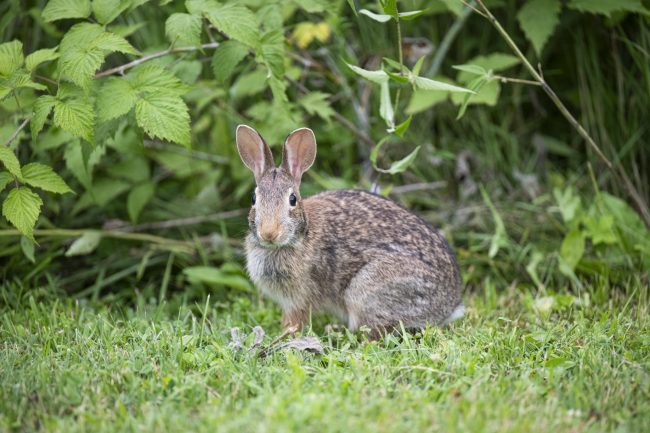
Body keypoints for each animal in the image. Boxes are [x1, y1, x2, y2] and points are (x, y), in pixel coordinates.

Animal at [235, 124, 464, 338]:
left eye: (292, 200)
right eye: (253, 199)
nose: (269, 232)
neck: (300, 236)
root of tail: (449, 305)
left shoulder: (298, 299)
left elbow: (294, 322)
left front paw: (283, 337)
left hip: (366, 292)